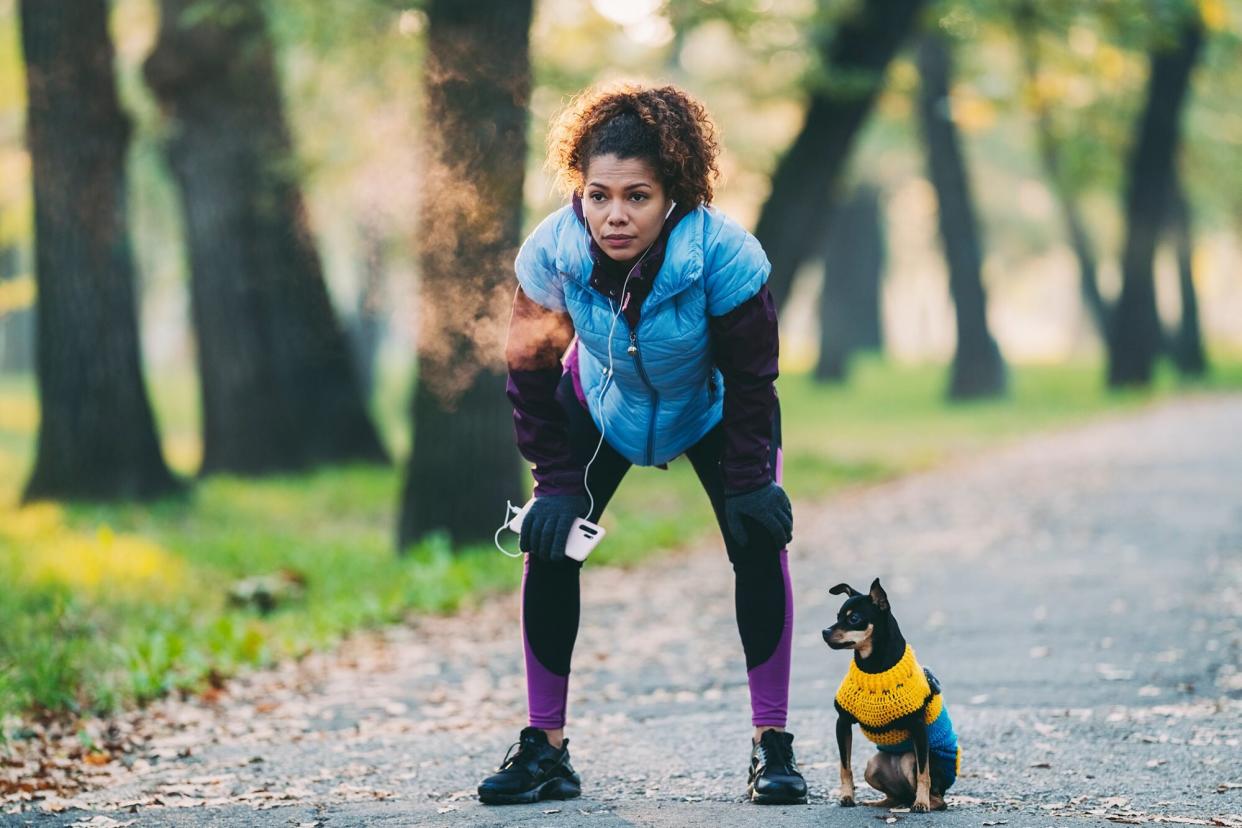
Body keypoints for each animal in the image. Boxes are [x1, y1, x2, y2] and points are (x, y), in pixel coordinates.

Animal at [824, 580, 958, 814]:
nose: (824, 631)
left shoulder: (918, 728)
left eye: (854, 619)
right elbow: (845, 766)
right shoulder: (842, 723)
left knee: (938, 799)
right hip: (872, 766)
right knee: (895, 796)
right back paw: (880, 803)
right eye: (837, 616)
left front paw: (922, 803)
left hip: (910, 760)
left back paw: (919, 802)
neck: (873, 669)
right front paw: (847, 796)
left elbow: (924, 773)